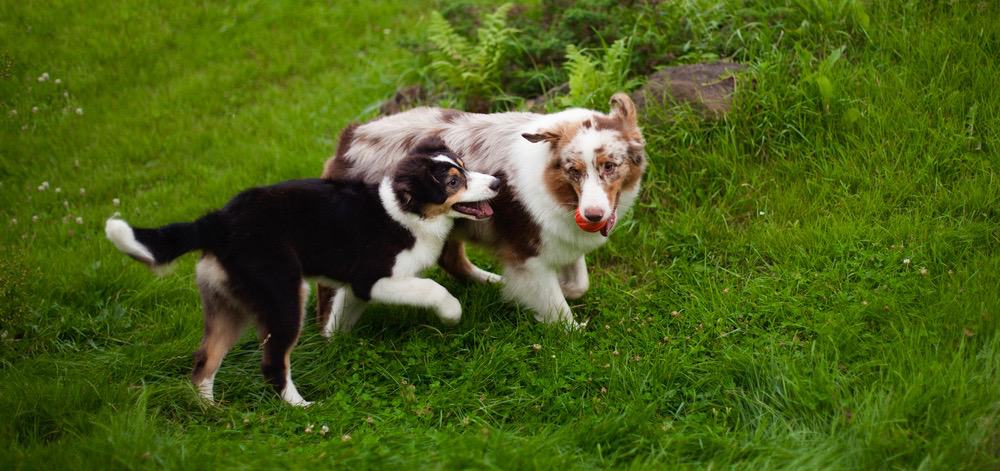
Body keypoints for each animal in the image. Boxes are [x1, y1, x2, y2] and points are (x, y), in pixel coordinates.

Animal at [101, 138, 500, 408]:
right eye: (453, 181)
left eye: (464, 165)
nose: (496, 183)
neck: (405, 211)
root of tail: (219, 221)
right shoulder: (373, 278)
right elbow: (432, 287)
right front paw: (452, 315)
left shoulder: (355, 287)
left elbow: (339, 318)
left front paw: (332, 345)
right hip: (281, 293)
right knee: (272, 363)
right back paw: (302, 408)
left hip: (226, 303)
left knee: (204, 362)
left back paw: (212, 412)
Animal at [320, 91, 648, 328]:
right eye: (574, 170)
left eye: (610, 166)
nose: (593, 216)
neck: (556, 188)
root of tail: (349, 139)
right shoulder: (527, 251)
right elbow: (555, 305)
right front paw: (570, 329)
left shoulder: (563, 237)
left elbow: (580, 283)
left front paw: (565, 289)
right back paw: (331, 338)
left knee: (452, 260)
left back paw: (491, 283)